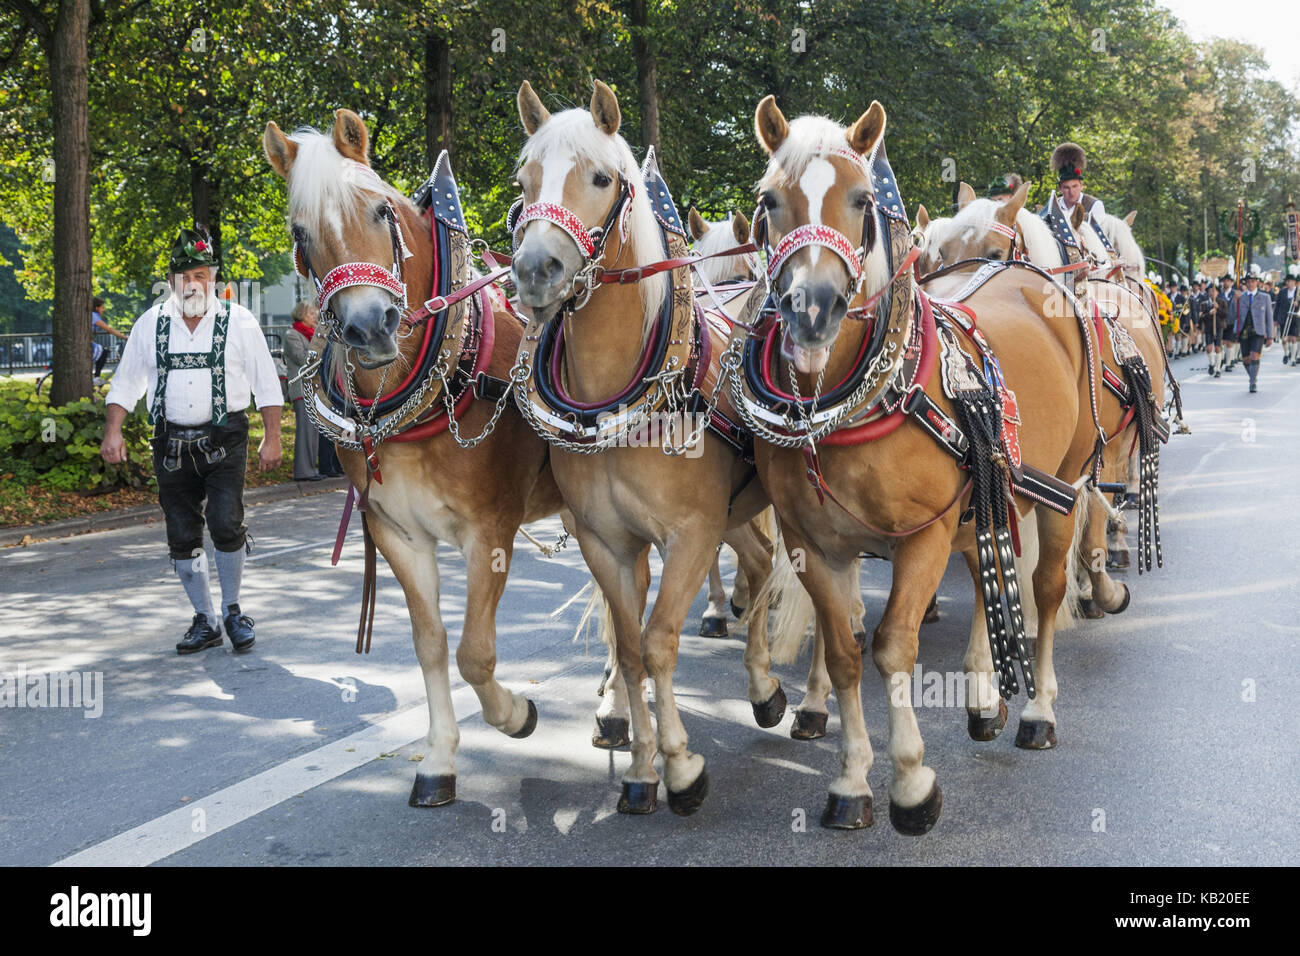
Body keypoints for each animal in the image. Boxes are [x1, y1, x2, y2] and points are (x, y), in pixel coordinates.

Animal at [509, 80, 786, 815]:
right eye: (523, 181)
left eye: (602, 178)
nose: (535, 270)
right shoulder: (606, 540)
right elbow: (630, 644)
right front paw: (638, 764)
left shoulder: (691, 531)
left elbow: (660, 641)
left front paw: (681, 765)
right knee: (758, 565)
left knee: (785, 569)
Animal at [737, 96, 1104, 832]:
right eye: (768, 200)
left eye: (860, 199)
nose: (812, 310)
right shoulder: (811, 542)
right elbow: (844, 652)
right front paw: (851, 780)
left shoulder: (923, 535)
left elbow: (892, 646)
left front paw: (910, 780)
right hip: (987, 493)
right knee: (987, 572)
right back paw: (986, 697)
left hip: (1065, 487)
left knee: (1046, 587)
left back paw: (1037, 709)